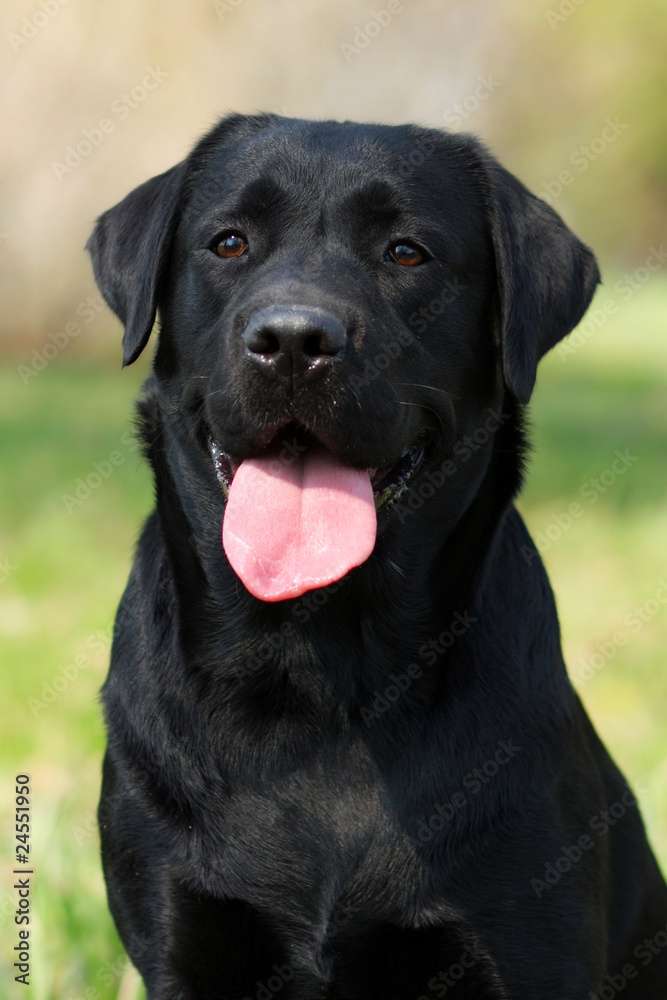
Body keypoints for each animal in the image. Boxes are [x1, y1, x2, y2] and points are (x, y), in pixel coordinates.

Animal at [87, 117, 667, 1000]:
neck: (319, 674)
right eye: (229, 242)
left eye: (405, 253)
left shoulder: (526, 939)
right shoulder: (181, 935)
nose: (293, 341)